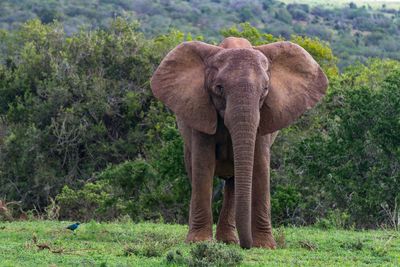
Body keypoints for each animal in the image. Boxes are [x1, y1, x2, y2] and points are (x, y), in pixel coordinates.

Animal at [151, 37, 328, 249]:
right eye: (219, 88)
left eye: (265, 90)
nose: (247, 245)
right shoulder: (201, 111)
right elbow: (203, 165)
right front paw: (198, 242)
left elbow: (260, 166)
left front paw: (265, 246)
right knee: (195, 173)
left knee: (234, 182)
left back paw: (228, 241)